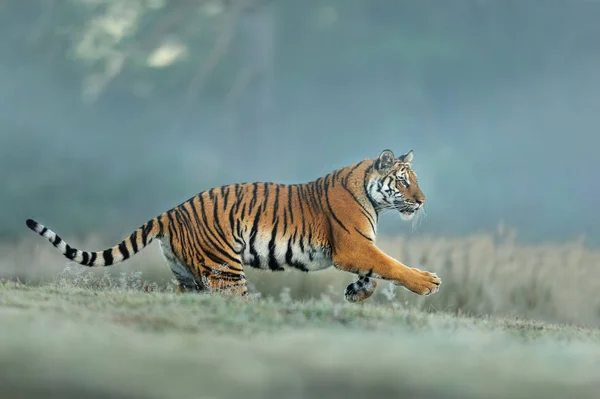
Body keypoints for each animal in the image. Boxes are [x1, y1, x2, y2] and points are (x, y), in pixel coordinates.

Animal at [25, 148, 440, 302]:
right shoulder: (352, 245)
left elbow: (377, 271)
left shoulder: (357, 250)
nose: (423, 201)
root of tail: (173, 211)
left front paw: (357, 292)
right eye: (404, 181)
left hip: (188, 274)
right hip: (224, 270)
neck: (374, 199)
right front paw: (427, 282)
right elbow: (391, 264)